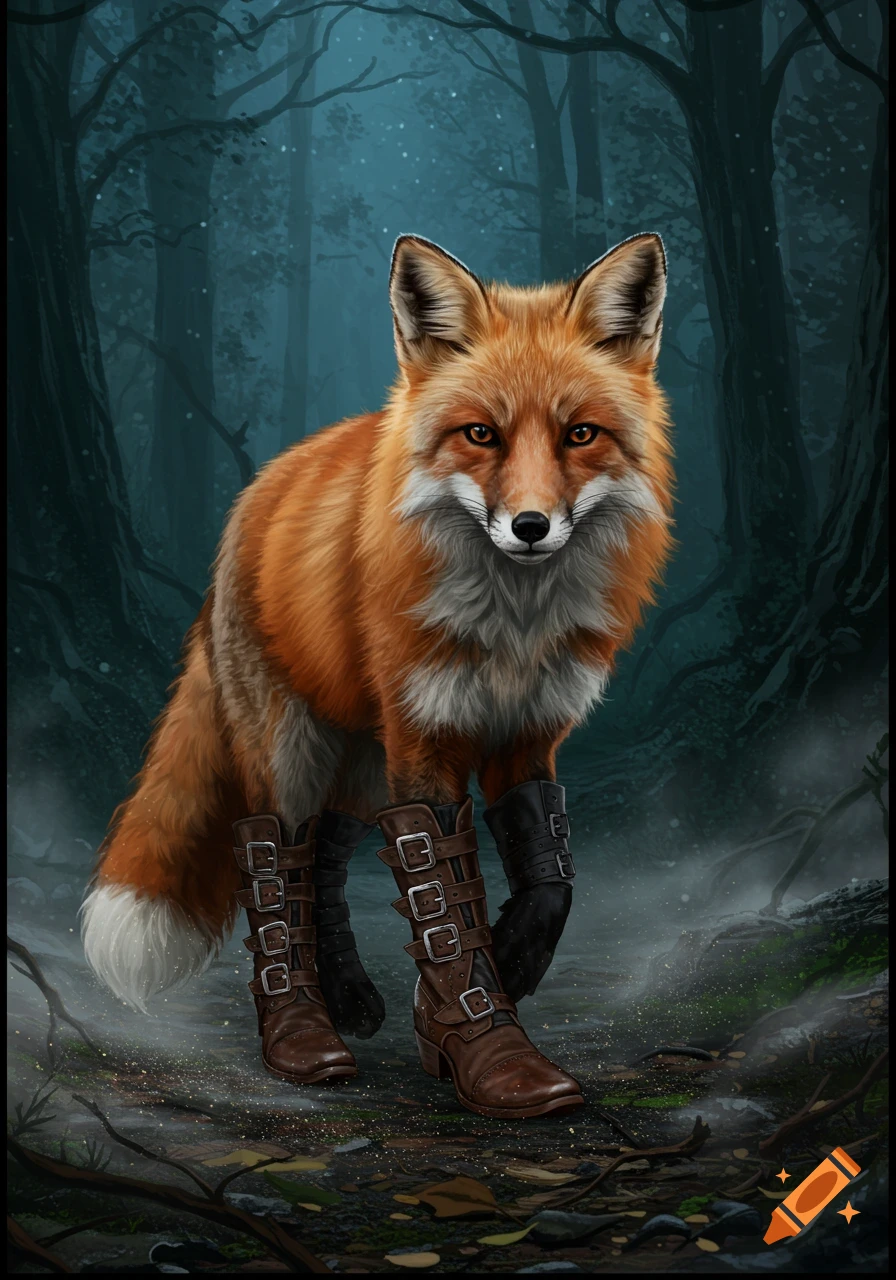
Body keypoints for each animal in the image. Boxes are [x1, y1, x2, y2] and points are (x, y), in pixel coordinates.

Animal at [82, 233, 673, 1093]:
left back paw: (350, 995)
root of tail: (258, 491)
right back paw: (301, 1027)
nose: (531, 526)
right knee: (277, 861)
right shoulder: (427, 733)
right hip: (294, 750)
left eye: (580, 435)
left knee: (322, 861)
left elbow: (548, 875)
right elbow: (441, 887)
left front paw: (505, 969)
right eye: (481, 435)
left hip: (363, 753)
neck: (512, 625)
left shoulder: (529, 730)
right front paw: (479, 1030)